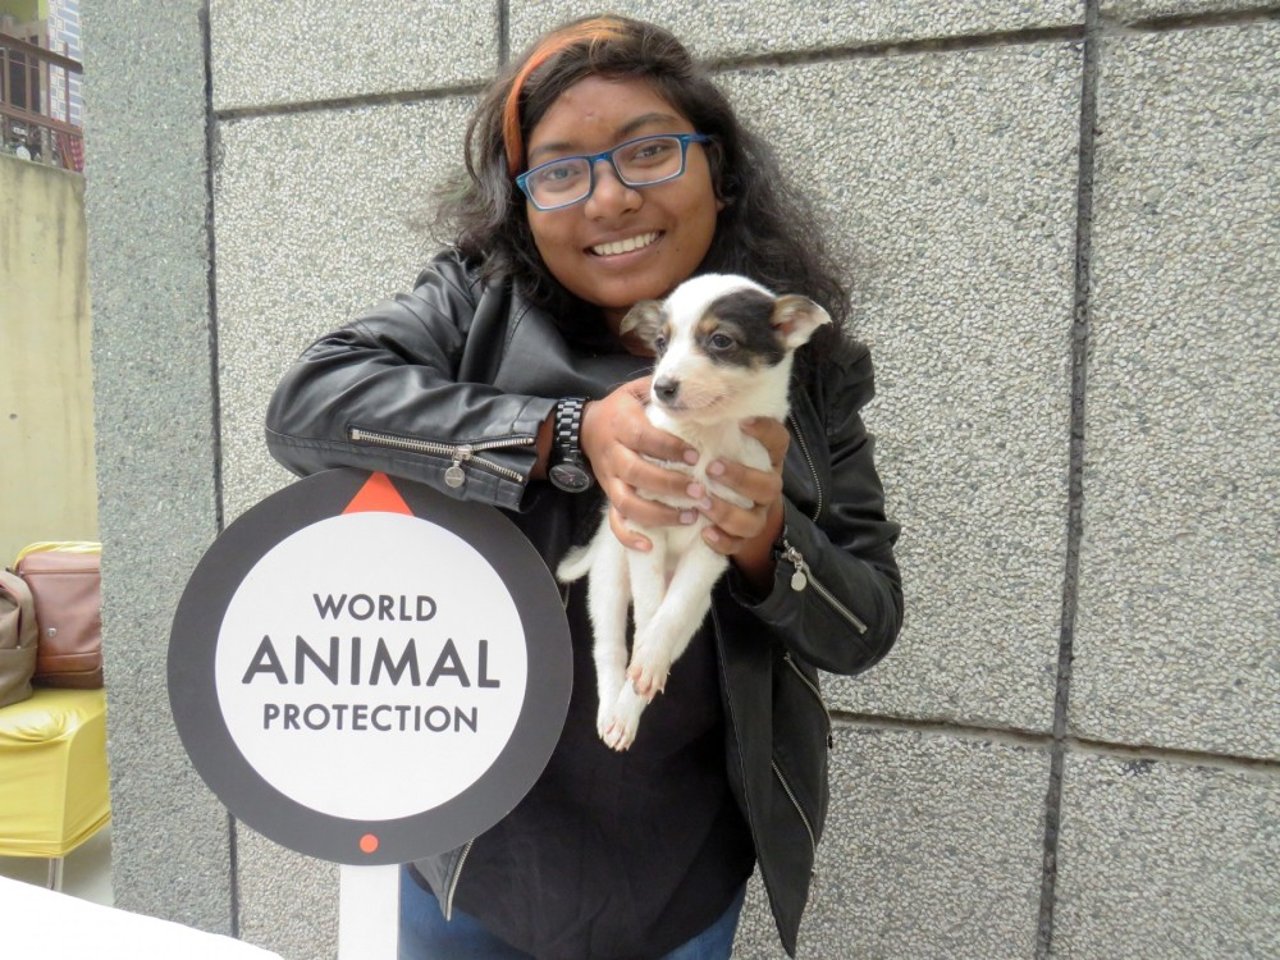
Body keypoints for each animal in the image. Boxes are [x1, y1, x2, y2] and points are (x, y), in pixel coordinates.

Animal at [560, 272, 829, 752]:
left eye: (720, 340)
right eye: (661, 342)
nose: (661, 388)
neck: (707, 436)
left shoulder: (716, 542)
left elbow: (668, 615)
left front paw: (650, 656)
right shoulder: (646, 523)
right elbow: (650, 608)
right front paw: (643, 644)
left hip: (699, 607)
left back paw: (632, 704)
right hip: (610, 574)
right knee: (608, 648)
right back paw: (613, 710)